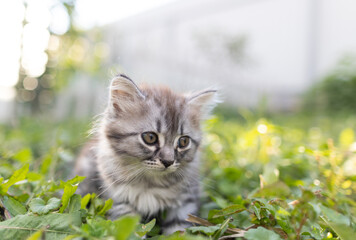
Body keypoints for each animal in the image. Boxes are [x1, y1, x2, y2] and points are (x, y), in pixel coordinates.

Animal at [75, 74, 217, 233]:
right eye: (150, 137)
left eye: (183, 141)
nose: (168, 161)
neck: (151, 182)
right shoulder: (119, 199)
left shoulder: (186, 200)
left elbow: (178, 229)